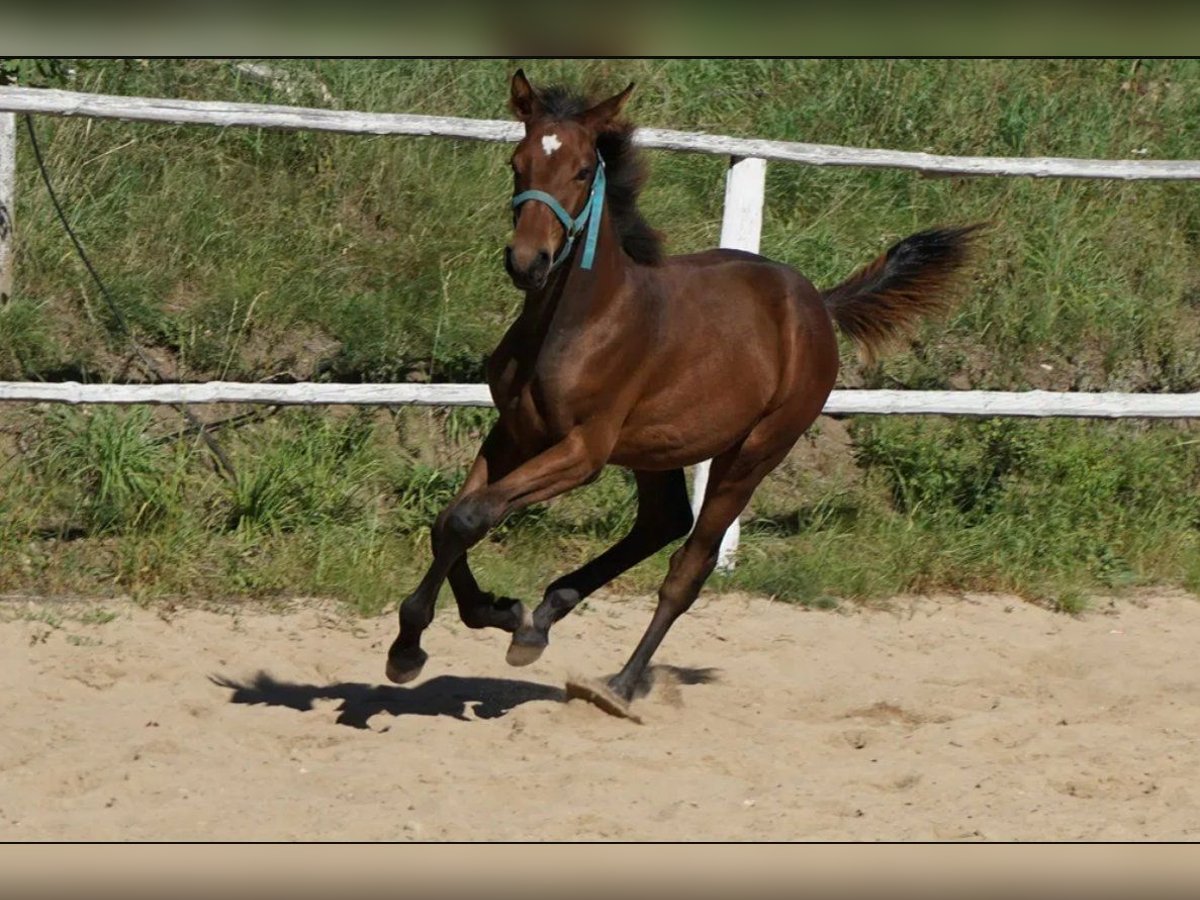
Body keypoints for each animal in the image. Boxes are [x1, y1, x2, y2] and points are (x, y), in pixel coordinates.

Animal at [388, 68, 979, 720]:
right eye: (518, 164)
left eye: (581, 171)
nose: (527, 262)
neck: (578, 320)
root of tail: (818, 305)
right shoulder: (514, 430)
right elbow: (455, 517)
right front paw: (479, 619)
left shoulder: (583, 451)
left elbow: (472, 514)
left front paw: (437, 638)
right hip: (657, 448)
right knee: (663, 520)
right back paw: (542, 621)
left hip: (752, 453)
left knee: (689, 563)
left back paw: (619, 684)